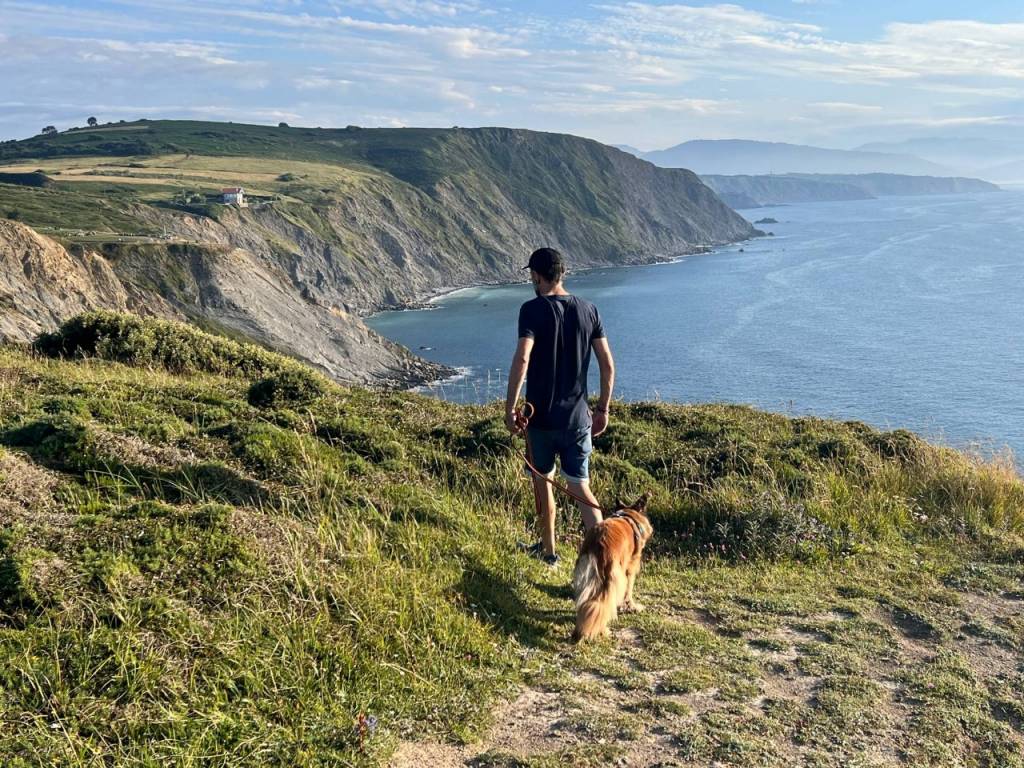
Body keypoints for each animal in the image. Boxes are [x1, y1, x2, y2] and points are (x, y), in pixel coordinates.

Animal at [569, 493, 655, 643]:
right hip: (611, 579)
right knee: (602, 606)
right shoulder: (630, 569)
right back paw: (602, 631)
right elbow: (628, 592)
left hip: (587, 576)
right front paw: (631, 607)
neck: (629, 515)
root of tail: (597, 543)